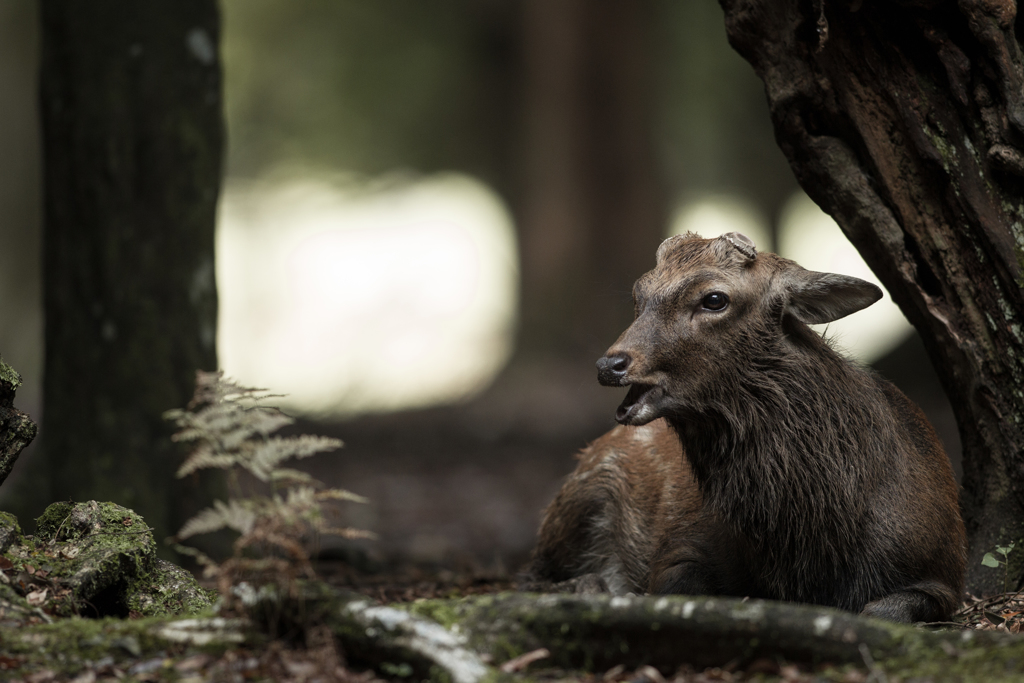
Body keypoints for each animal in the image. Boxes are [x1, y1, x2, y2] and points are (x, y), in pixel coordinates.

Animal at [528, 232, 966, 622]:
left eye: (714, 299)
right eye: (639, 294)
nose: (610, 364)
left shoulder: (944, 570)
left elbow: (885, 609)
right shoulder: (680, 546)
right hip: (583, 489)